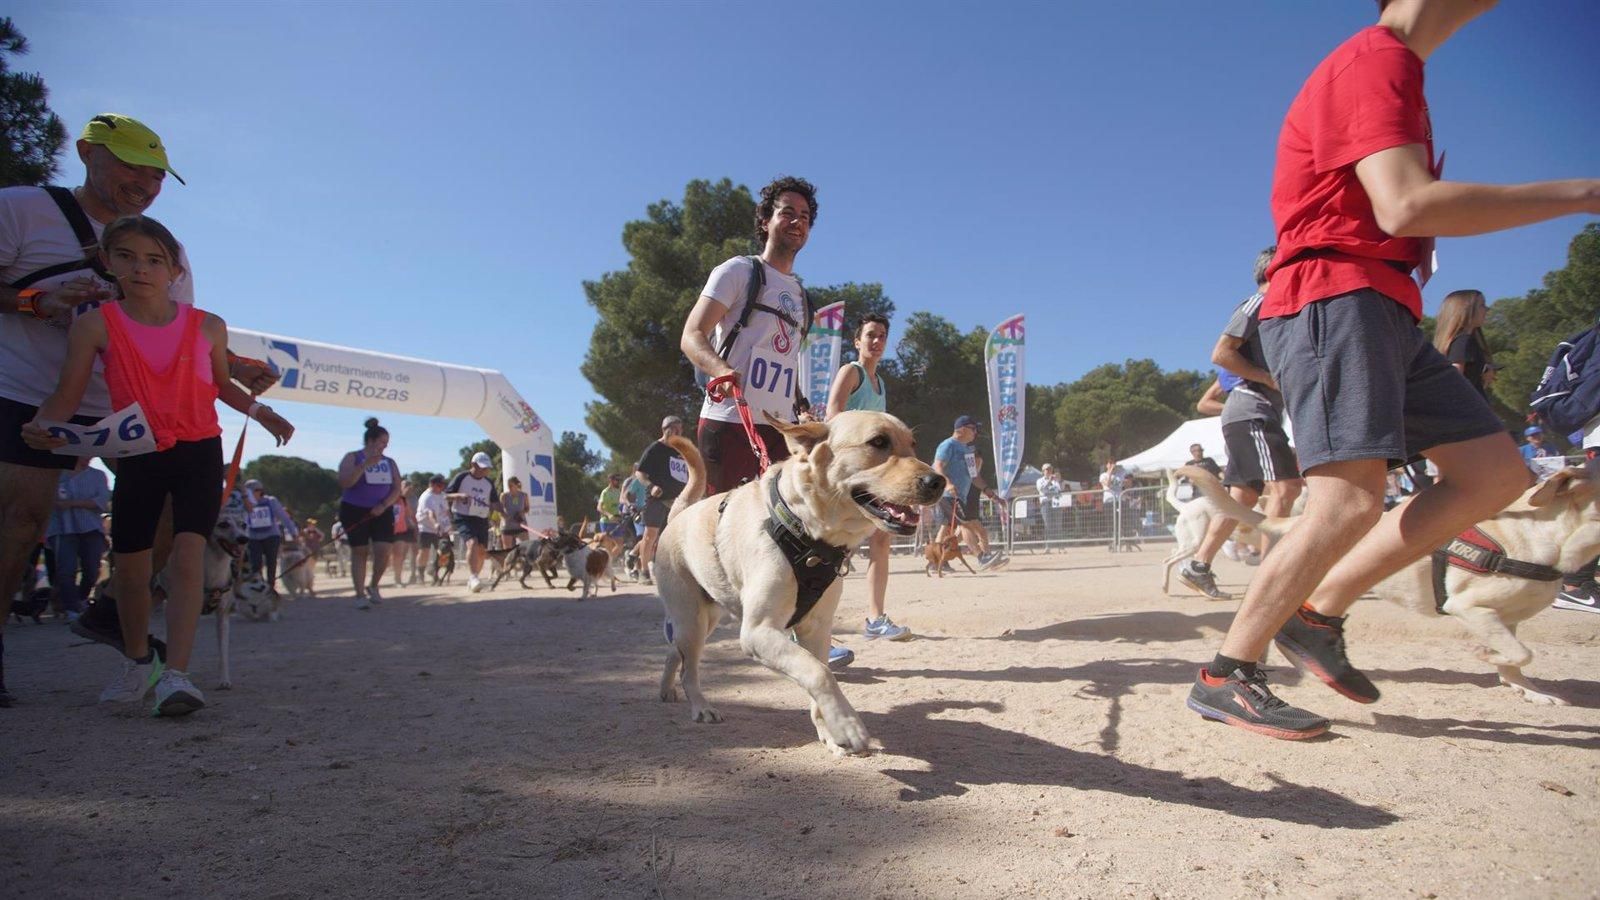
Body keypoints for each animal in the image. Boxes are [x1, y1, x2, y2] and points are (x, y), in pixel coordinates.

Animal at [652, 409, 940, 752]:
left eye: (913, 444)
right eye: (878, 442)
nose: (939, 481)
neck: (803, 530)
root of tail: (678, 515)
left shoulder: (815, 629)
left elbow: (818, 671)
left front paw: (830, 731)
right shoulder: (758, 631)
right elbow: (818, 673)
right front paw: (848, 726)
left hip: (707, 617)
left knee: (676, 652)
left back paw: (666, 689)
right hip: (691, 619)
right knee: (689, 668)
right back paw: (701, 707)